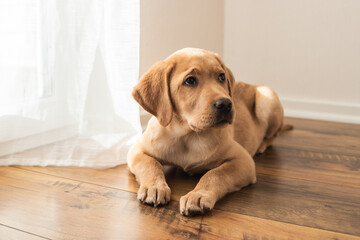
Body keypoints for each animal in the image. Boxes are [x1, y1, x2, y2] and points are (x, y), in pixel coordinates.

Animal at [126, 47, 290, 217]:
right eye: (190, 81)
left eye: (221, 77)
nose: (226, 104)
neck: (188, 135)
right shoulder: (137, 151)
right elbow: (150, 164)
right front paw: (154, 187)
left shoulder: (243, 160)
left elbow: (215, 174)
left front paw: (197, 195)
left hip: (267, 98)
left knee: (273, 134)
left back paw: (261, 145)